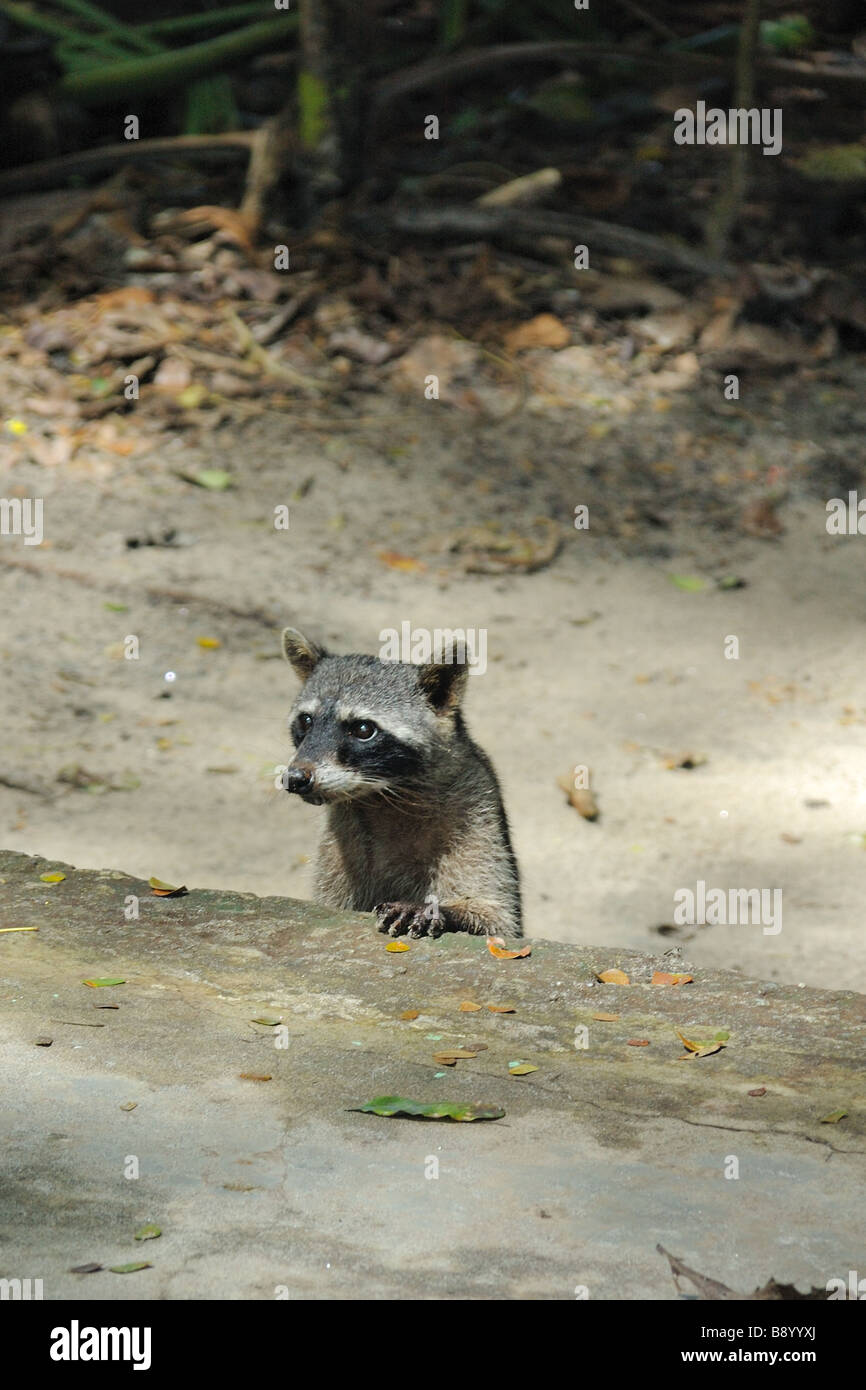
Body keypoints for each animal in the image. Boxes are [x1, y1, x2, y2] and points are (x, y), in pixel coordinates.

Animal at [280, 633, 522, 945]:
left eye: (362, 729)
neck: (383, 797)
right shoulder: (337, 844)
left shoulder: (477, 813)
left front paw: (439, 909)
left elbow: (498, 920)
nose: (296, 778)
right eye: (306, 721)